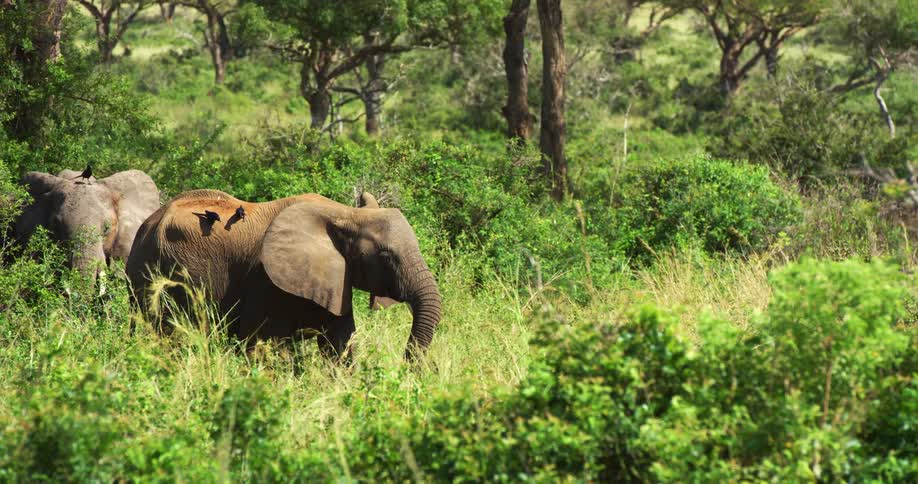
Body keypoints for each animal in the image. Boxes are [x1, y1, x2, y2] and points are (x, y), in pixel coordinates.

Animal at [125, 189, 442, 360]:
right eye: (386, 257)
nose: (408, 364)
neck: (345, 214)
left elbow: (339, 347)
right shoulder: (265, 281)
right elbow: (264, 346)